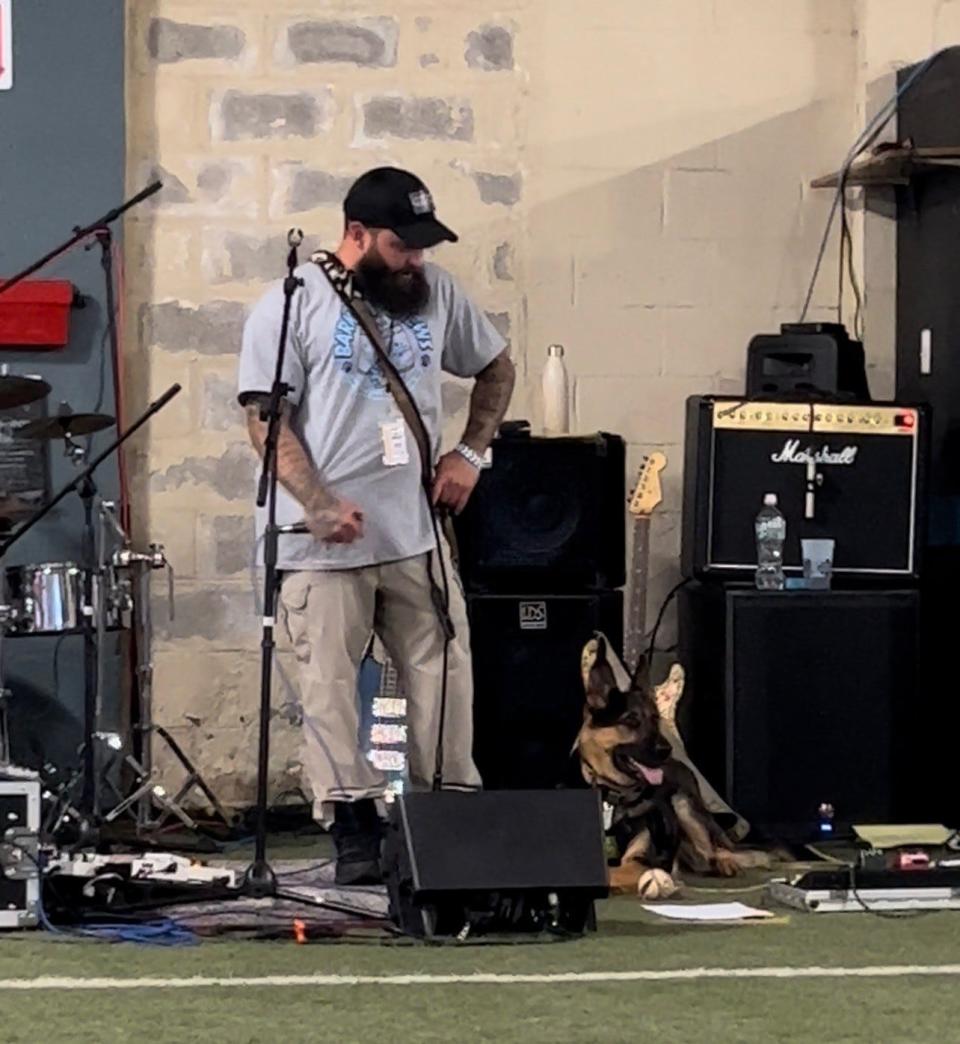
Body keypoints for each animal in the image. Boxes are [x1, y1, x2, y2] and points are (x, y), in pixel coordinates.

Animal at [576, 634, 755, 897]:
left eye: (655, 719)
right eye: (631, 720)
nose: (665, 750)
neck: (615, 798)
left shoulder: (640, 861)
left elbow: (612, 872)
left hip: (684, 806)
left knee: (714, 850)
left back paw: (723, 863)